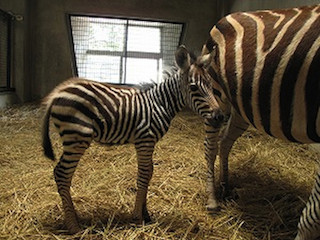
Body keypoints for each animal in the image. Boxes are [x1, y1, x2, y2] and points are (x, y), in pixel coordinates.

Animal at [41, 46, 224, 233]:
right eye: (194, 87)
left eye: (211, 85)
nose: (219, 117)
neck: (160, 104)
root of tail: (58, 92)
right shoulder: (145, 140)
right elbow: (143, 174)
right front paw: (137, 217)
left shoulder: (148, 142)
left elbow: (149, 172)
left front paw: (146, 214)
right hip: (77, 137)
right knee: (62, 173)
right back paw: (73, 226)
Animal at [200, 3, 320, 240]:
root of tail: (227, 17)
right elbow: (311, 218)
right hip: (216, 93)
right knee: (210, 146)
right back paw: (212, 199)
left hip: (242, 105)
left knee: (224, 141)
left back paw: (225, 185)